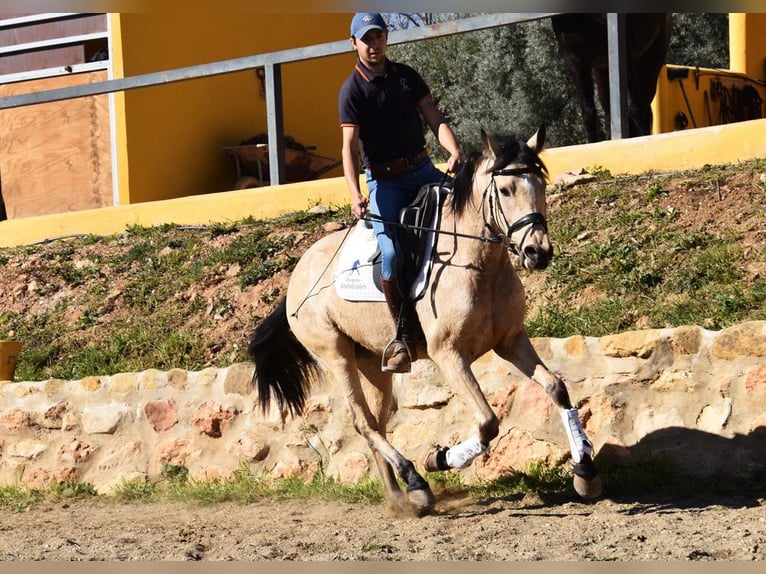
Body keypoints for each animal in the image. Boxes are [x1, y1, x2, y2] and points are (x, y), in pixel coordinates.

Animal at [249, 128, 604, 516]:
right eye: (506, 190)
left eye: (540, 184)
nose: (537, 253)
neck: (479, 264)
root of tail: (297, 276)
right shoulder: (449, 355)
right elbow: (487, 422)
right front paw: (440, 459)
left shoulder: (511, 341)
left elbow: (556, 387)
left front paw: (585, 471)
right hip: (335, 354)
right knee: (363, 423)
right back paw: (416, 482)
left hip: (372, 362)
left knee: (376, 423)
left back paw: (398, 496)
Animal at [552, 12, 672, 143]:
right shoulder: (574, 60)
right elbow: (588, 114)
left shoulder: (627, 50)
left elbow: (635, 108)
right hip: (604, 71)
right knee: (610, 113)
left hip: (651, 59)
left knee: (643, 107)